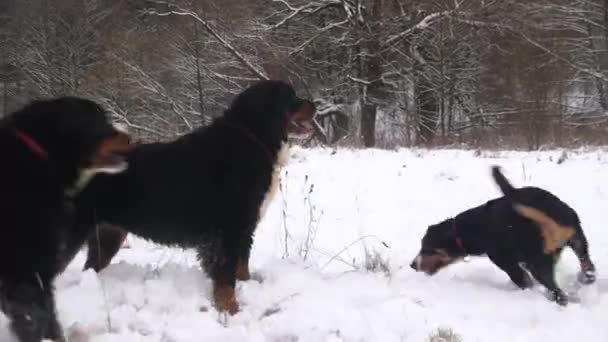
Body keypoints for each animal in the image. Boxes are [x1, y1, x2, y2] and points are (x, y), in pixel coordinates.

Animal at [73, 80, 316, 316]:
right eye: (291, 96)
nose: (314, 104)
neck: (252, 138)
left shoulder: (244, 229)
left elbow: (242, 267)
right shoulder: (228, 230)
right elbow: (226, 277)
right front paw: (230, 310)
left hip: (108, 235)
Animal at [410, 166, 596, 304]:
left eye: (426, 248)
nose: (412, 265)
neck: (472, 228)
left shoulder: (509, 264)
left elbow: (525, 282)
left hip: (538, 263)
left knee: (558, 293)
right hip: (577, 239)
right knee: (587, 266)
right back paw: (585, 279)